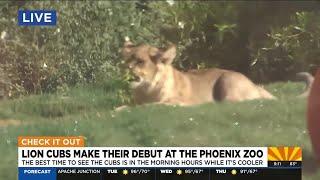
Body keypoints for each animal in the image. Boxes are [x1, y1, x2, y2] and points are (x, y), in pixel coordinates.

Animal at [121, 40, 276, 106]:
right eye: (127, 59)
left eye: (140, 61)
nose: (126, 67)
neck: (146, 89)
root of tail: (255, 85)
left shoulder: (177, 102)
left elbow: (147, 106)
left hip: (227, 81)